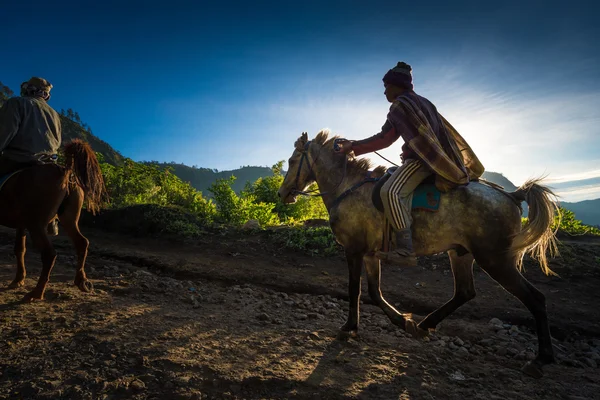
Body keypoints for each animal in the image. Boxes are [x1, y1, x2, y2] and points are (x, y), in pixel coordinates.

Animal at [0, 139, 105, 302]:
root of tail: (66, 171)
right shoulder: (21, 224)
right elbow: (20, 249)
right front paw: (18, 280)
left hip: (36, 224)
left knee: (49, 254)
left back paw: (36, 293)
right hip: (68, 219)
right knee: (82, 243)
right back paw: (81, 281)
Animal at [278, 131, 560, 378]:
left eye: (292, 161)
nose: (282, 194)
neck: (348, 187)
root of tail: (512, 195)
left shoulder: (354, 250)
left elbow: (354, 290)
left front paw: (349, 327)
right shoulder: (370, 254)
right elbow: (374, 293)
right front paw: (403, 322)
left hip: (495, 260)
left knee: (535, 298)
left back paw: (541, 359)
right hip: (461, 254)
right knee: (464, 292)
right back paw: (425, 325)